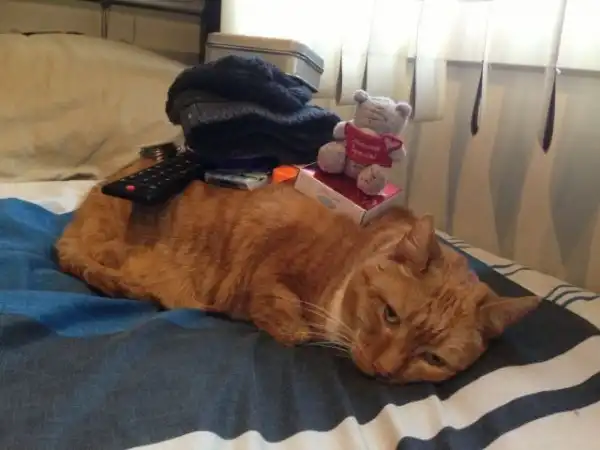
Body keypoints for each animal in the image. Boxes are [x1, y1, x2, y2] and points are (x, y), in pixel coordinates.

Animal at [56, 158, 541, 384]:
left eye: (433, 360)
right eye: (390, 315)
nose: (382, 370)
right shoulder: (270, 248)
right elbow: (275, 302)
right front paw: (292, 327)